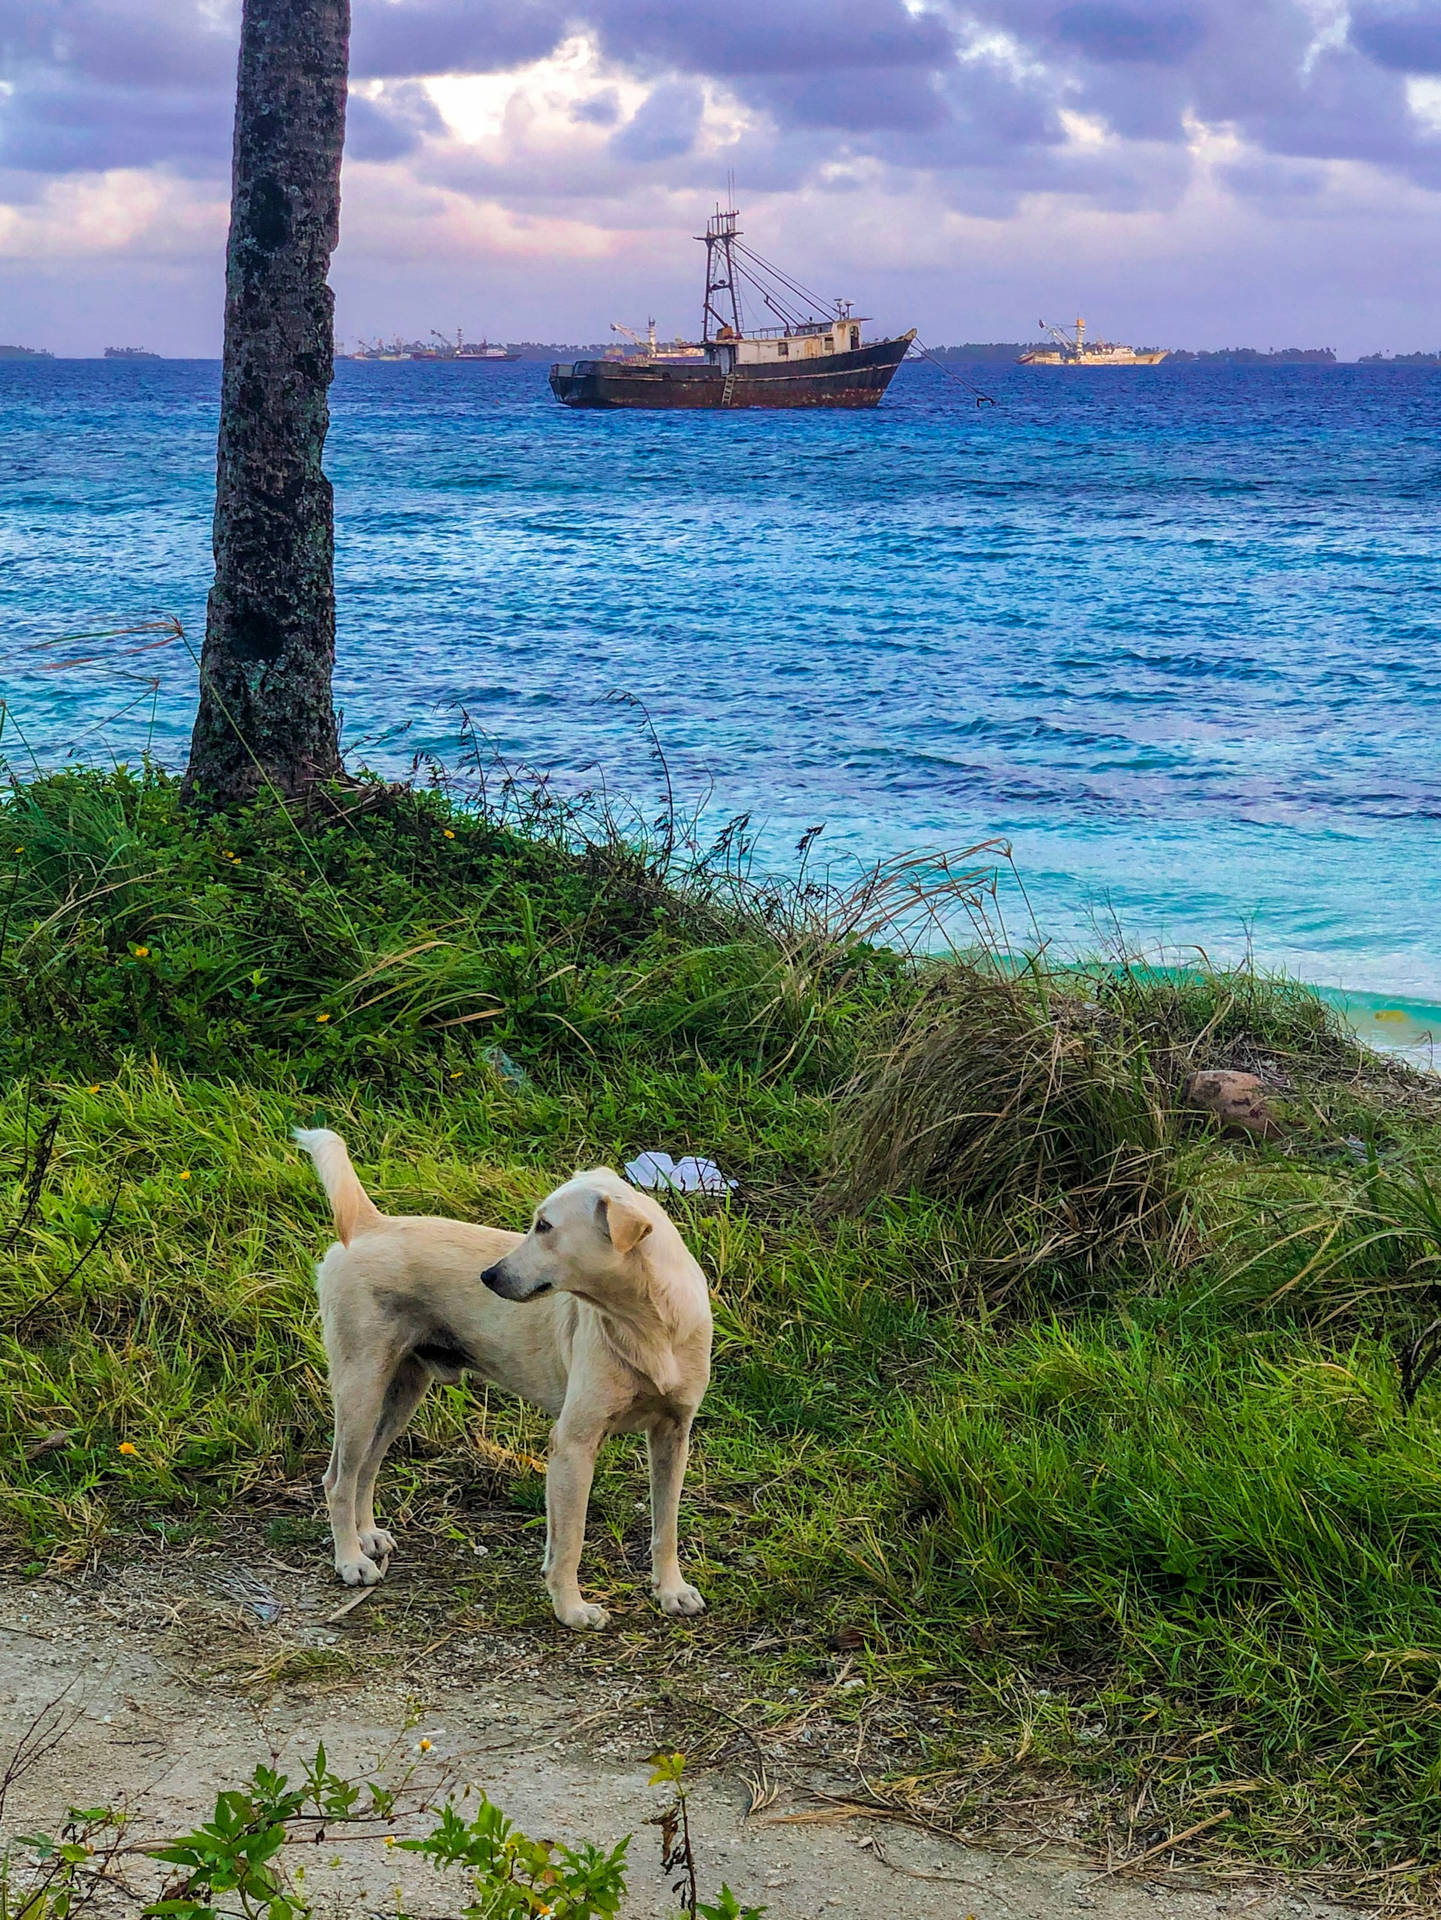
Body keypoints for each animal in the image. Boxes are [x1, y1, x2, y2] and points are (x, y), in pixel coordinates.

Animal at [299, 1121, 717, 1635]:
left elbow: (666, 1526)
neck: (647, 1326)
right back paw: (350, 1560)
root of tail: (370, 1223)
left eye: (545, 1227)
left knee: (365, 1468)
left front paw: (671, 1591)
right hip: (360, 1389)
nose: (488, 1275)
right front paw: (572, 1608)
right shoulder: (574, 1444)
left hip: (400, 1394)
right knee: (337, 1478)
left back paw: (367, 1537)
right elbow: (570, 1540)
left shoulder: (673, 1437)